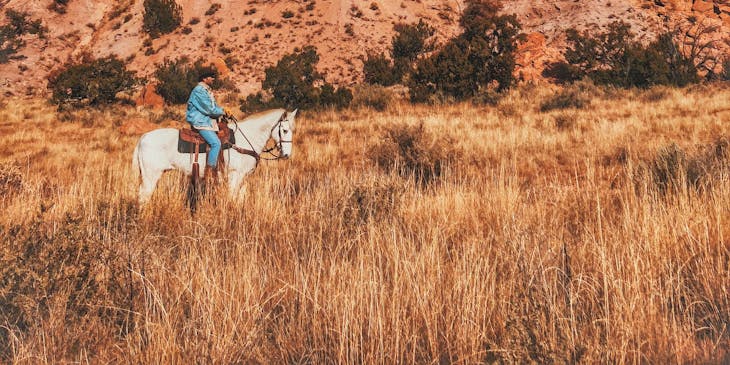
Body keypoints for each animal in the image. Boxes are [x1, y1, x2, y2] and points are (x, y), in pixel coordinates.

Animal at [132, 108, 294, 203]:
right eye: (285, 130)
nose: (286, 154)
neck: (245, 139)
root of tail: (143, 138)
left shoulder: (243, 178)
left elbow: (240, 199)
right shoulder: (234, 175)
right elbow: (232, 198)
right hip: (151, 176)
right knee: (143, 197)